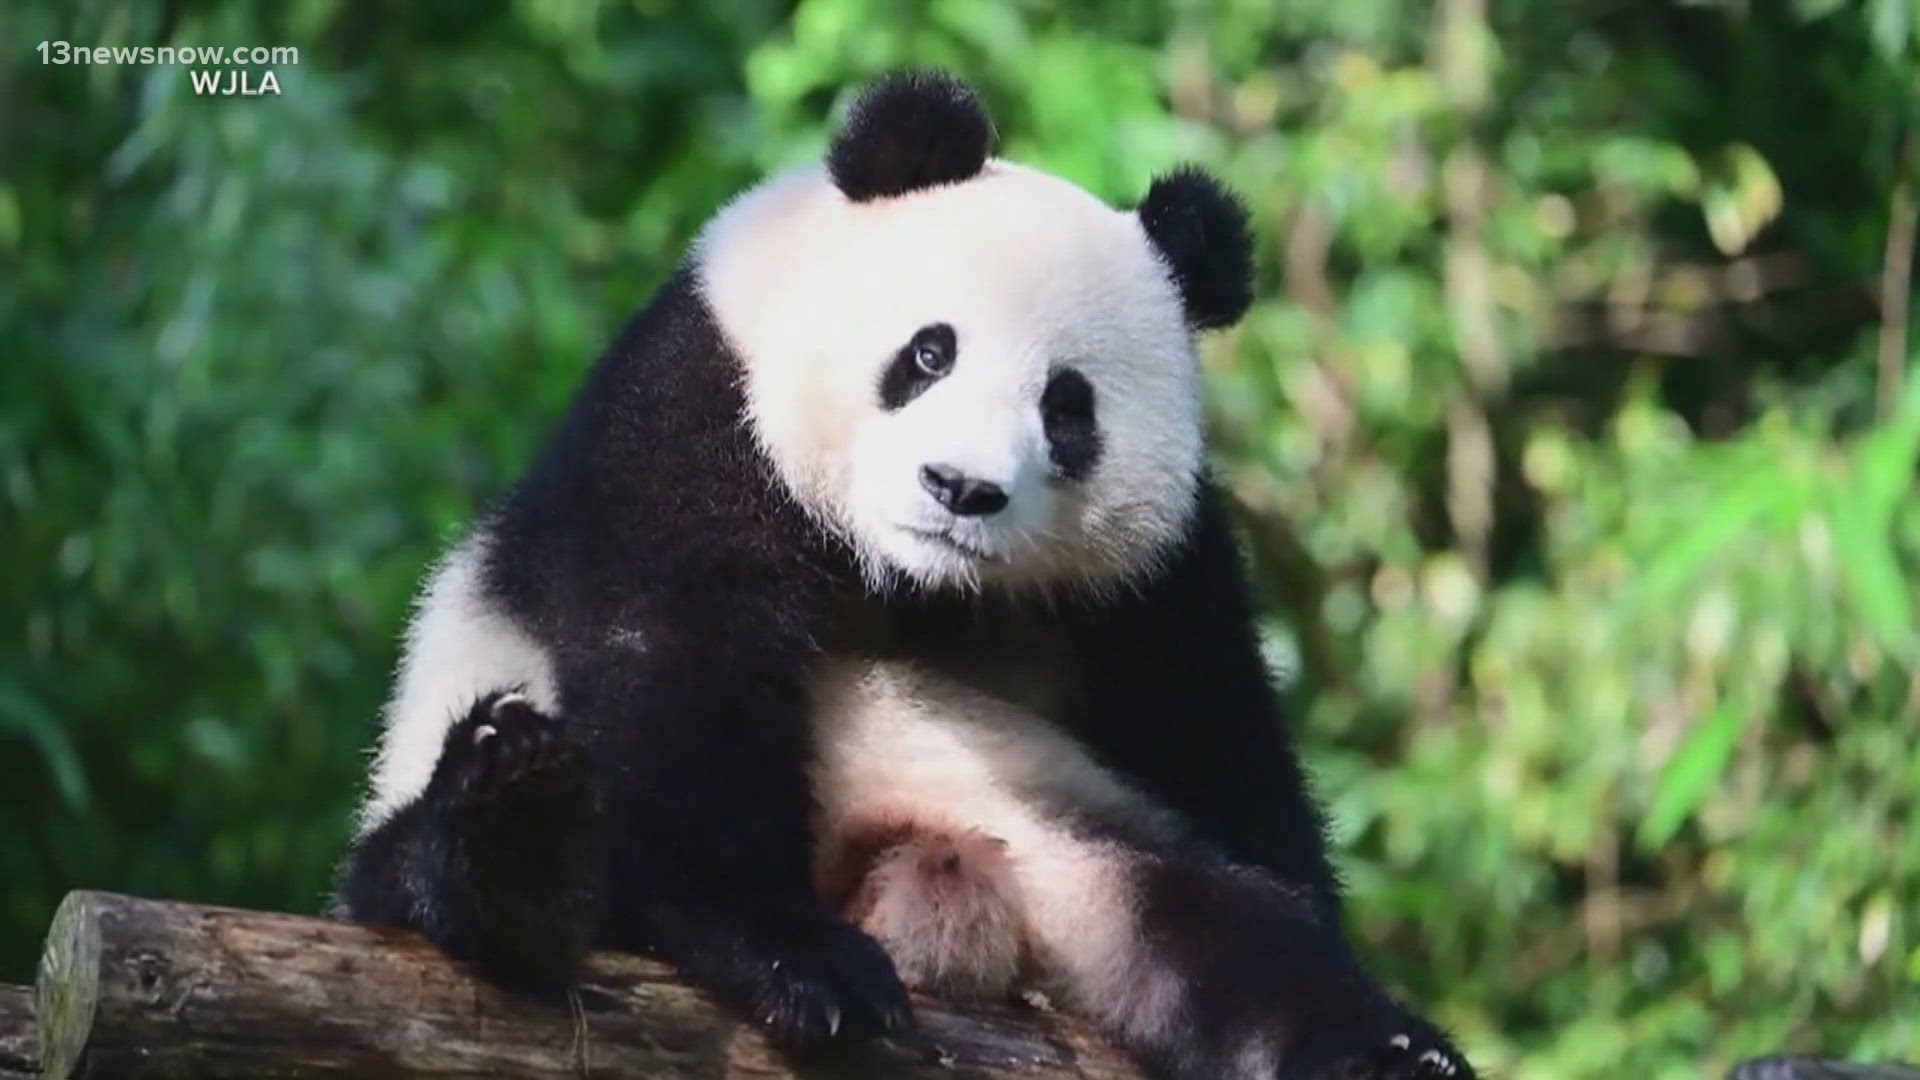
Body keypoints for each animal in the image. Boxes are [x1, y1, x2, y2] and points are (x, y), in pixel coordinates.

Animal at [334, 73, 1466, 1076]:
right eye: (929, 353)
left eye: (1068, 407)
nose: (960, 488)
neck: (910, 579)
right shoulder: (703, 407)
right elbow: (674, 662)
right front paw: (804, 966)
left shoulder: (1158, 573)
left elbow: (1221, 744)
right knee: (437, 867)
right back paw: (512, 838)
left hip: (1079, 855)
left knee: (1224, 935)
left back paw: (1384, 1053)